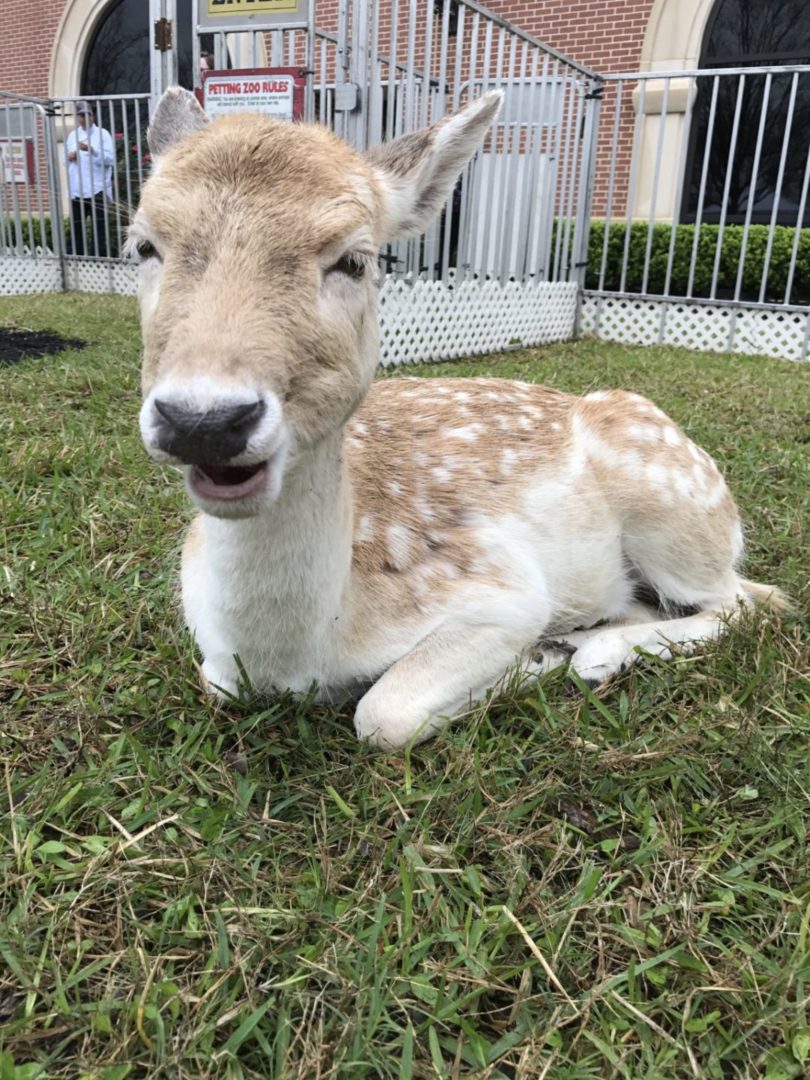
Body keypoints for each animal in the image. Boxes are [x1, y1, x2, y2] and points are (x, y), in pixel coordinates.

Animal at [133, 88, 786, 747]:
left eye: (355, 260)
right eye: (142, 244)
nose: (204, 420)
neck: (297, 655)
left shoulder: (498, 587)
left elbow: (382, 715)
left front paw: (534, 659)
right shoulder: (212, 645)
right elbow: (217, 683)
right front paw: (546, 654)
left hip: (676, 515)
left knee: (752, 600)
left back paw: (595, 655)